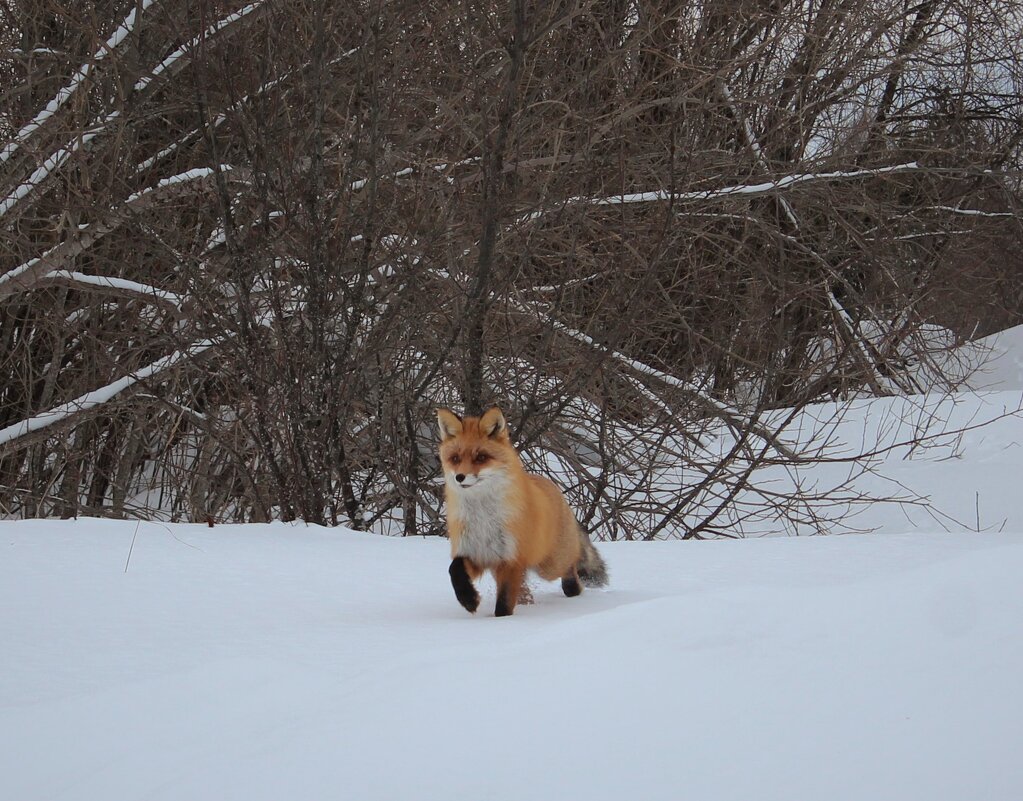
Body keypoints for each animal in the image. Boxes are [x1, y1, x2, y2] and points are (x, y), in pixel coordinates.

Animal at [433, 407, 605, 621]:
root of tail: (549, 483)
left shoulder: (510, 559)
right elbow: (454, 570)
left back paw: (573, 589)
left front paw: (504, 621)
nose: (459, 477)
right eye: (455, 458)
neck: (483, 519)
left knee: (571, 566)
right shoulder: (475, 553)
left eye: (481, 457)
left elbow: (505, 601)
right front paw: (469, 599)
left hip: (548, 565)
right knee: (526, 592)